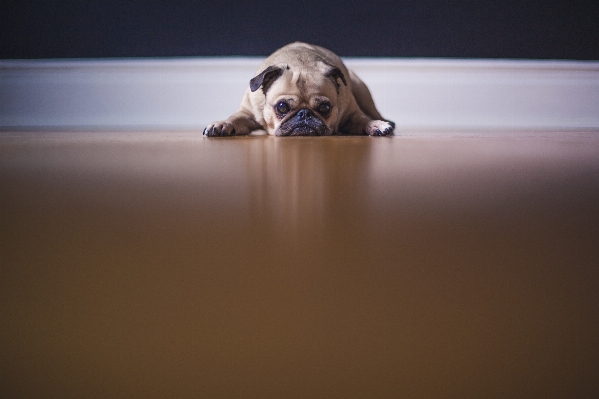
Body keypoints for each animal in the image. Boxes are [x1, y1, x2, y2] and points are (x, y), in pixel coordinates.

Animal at [204, 41, 396, 137]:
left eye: (325, 108)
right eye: (282, 107)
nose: (304, 114)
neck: (300, 63)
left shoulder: (352, 114)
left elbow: (363, 119)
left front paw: (375, 125)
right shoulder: (247, 114)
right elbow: (234, 118)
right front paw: (222, 124)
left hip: (361, 90)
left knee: (372, 112)